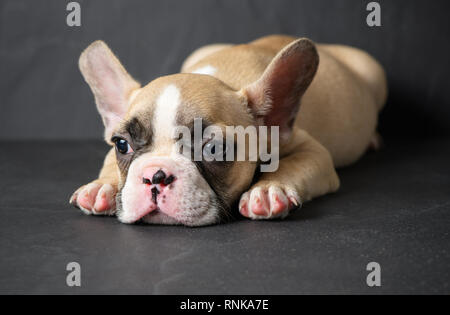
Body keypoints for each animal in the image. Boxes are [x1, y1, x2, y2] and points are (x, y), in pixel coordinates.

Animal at [69, 35, 386, 227]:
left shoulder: (312, 151)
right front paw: (102, 187)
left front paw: (269, 190)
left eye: (214, 149)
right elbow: (107, 165)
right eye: (122, 145)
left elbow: (294, 163)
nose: (154, 176)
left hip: (375, 72)